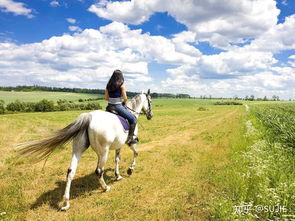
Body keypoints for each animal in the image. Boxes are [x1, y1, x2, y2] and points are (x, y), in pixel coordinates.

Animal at [17, 89, 154, 211]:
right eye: (150, 101)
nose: (150, 115)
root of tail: (88, 116)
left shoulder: (118, 146)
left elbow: (117, 160)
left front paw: (118, 175)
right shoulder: (129, 143)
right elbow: (136, 153)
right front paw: (130, 170)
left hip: (78, 149)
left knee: (70, 171)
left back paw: (66, 203)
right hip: (103, 151)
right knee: (99, 170)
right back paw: (105, 188)